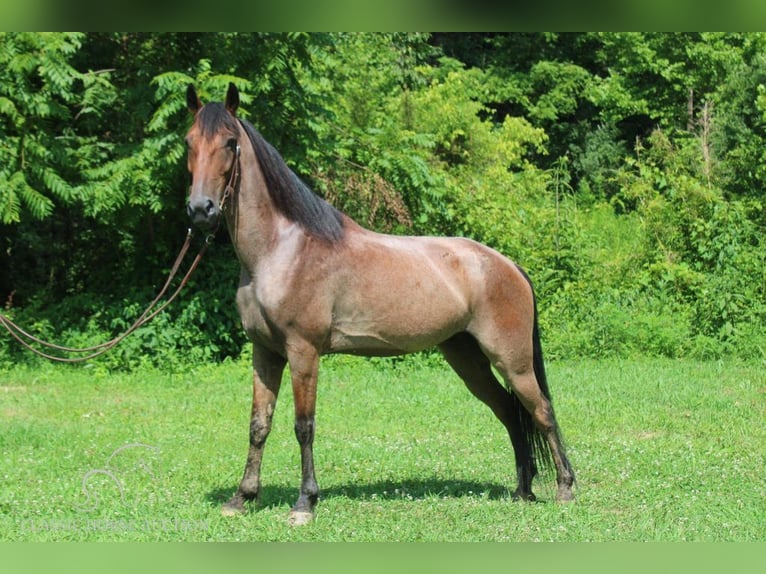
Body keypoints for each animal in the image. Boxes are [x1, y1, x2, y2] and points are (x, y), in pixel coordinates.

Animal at [183, 82, 572, 528]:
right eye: (189, 142)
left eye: (230, 143)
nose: (200, 210)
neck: (281, 251)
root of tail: (509, 266)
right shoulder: (265, 352)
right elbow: (258, 425)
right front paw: (242, 497)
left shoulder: (303, 352)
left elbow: (304, 426)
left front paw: (305, 503)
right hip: (467, 358)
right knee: (509, 411)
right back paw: (523, 490)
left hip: (513, 361)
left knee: (541, 411)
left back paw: (565, 488)